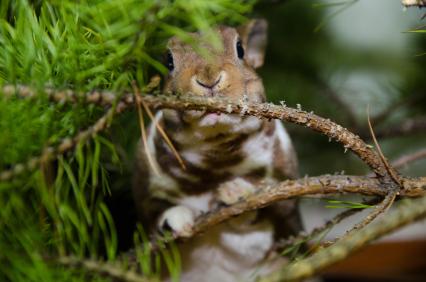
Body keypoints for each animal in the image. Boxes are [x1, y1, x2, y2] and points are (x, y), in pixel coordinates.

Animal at [133, 19, 302, 280]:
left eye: (240, 49)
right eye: (168, 60)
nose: (209, 79)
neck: (216, 155)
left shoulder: (283, 196)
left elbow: (258, 209)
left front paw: (234, 192)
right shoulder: (145, 191)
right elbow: (158, 211)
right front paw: (177, 222)